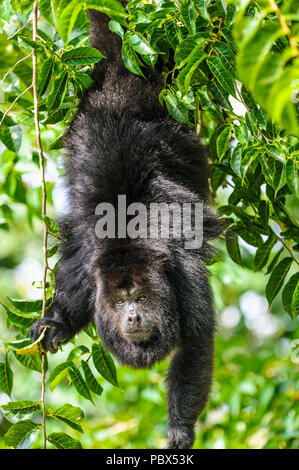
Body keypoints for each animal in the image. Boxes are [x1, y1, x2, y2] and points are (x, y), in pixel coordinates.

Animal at [30, 1, 223, 450]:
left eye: (142, 297)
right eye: (119, 303)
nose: (132, 317)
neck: (125, 244)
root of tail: (121, 69)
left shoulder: (183, 273)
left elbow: (195, 347)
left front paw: (179, 431)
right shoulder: (90, 267)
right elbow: (73, 292)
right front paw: (56, 323)